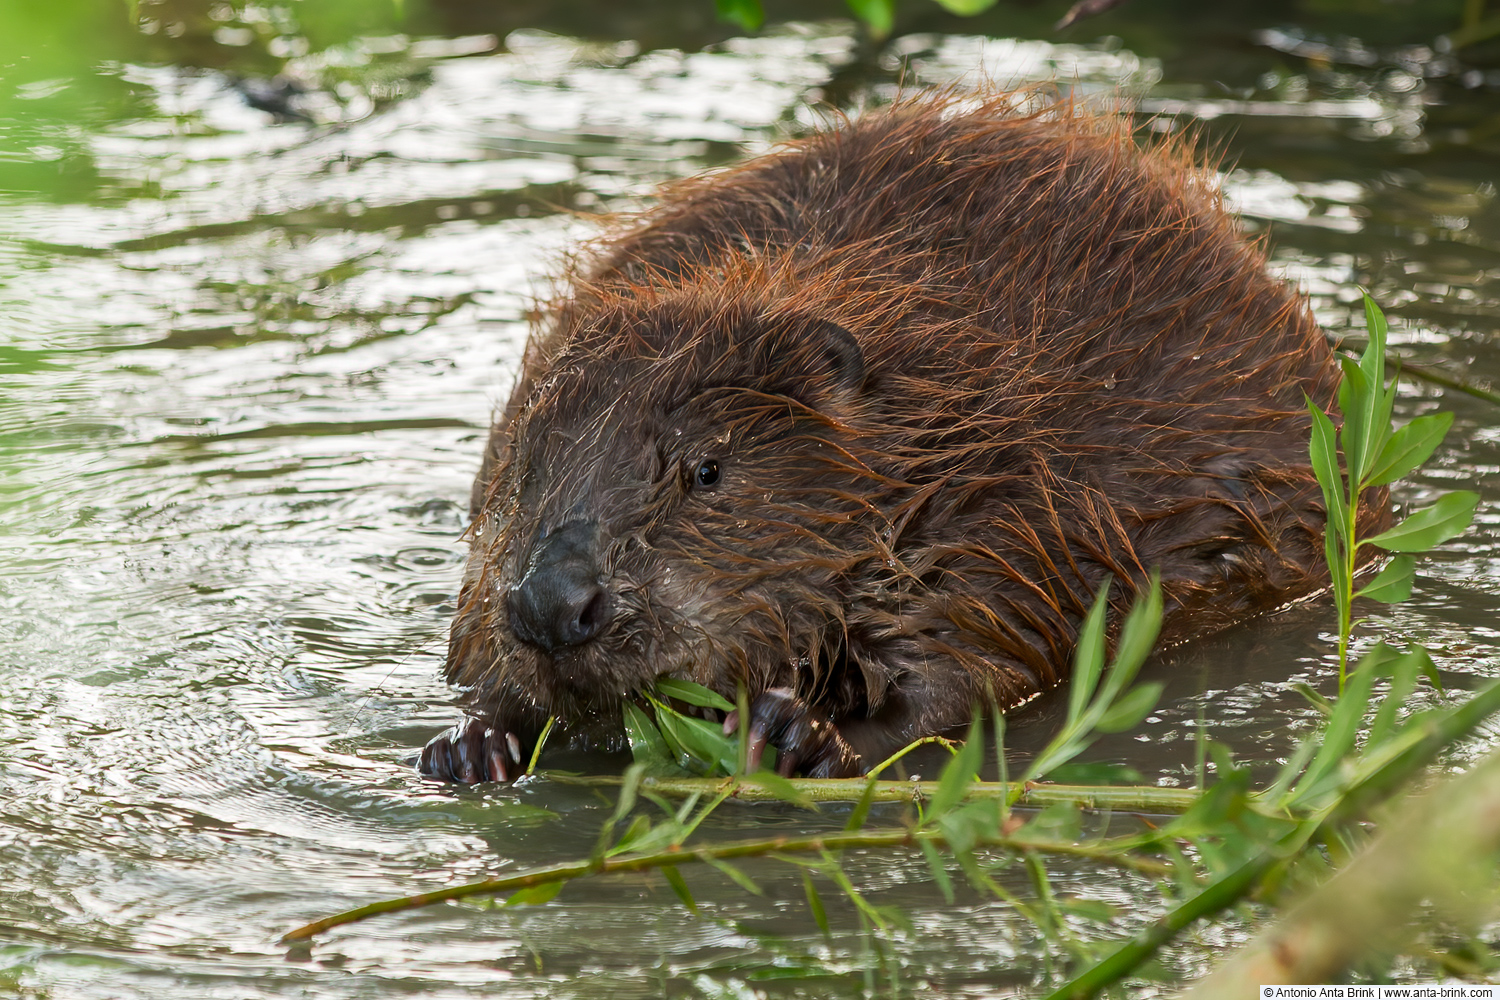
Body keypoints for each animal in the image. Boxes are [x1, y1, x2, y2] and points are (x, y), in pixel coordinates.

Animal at [417, 91, 1386, 779]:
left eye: (707, 470)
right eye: (524, 469)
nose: (553, 604)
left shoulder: (1015, 507)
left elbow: (985, 663)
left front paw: (800, 731)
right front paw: (470, 741)